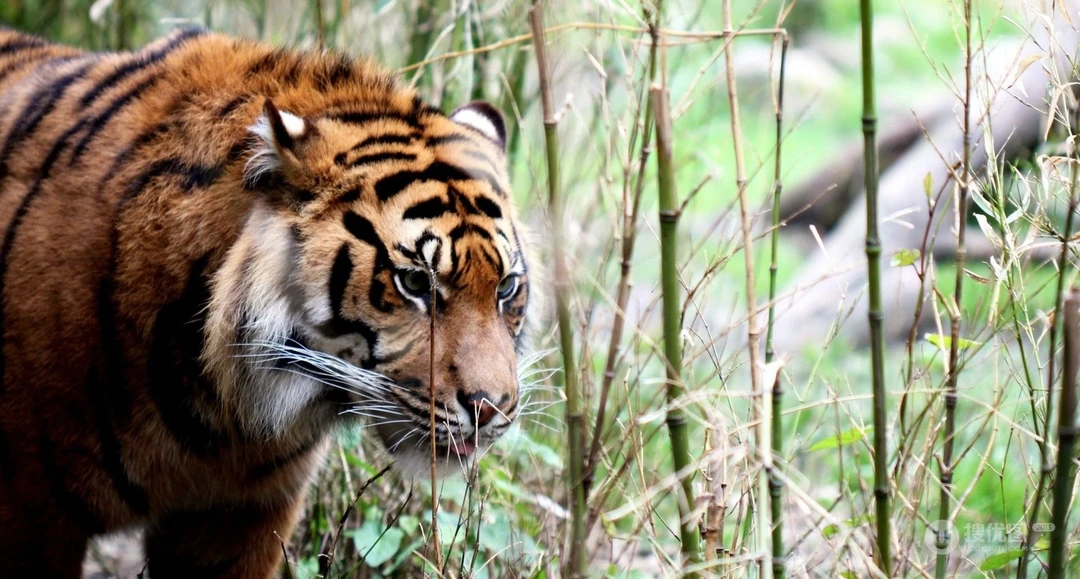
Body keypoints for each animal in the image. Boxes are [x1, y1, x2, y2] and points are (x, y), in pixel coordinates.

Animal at [0, 25, 531, 578]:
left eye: (506, 287)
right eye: (414, 283)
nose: (492, 408)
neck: (219, 411)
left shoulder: (240, 517)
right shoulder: (30, 509)